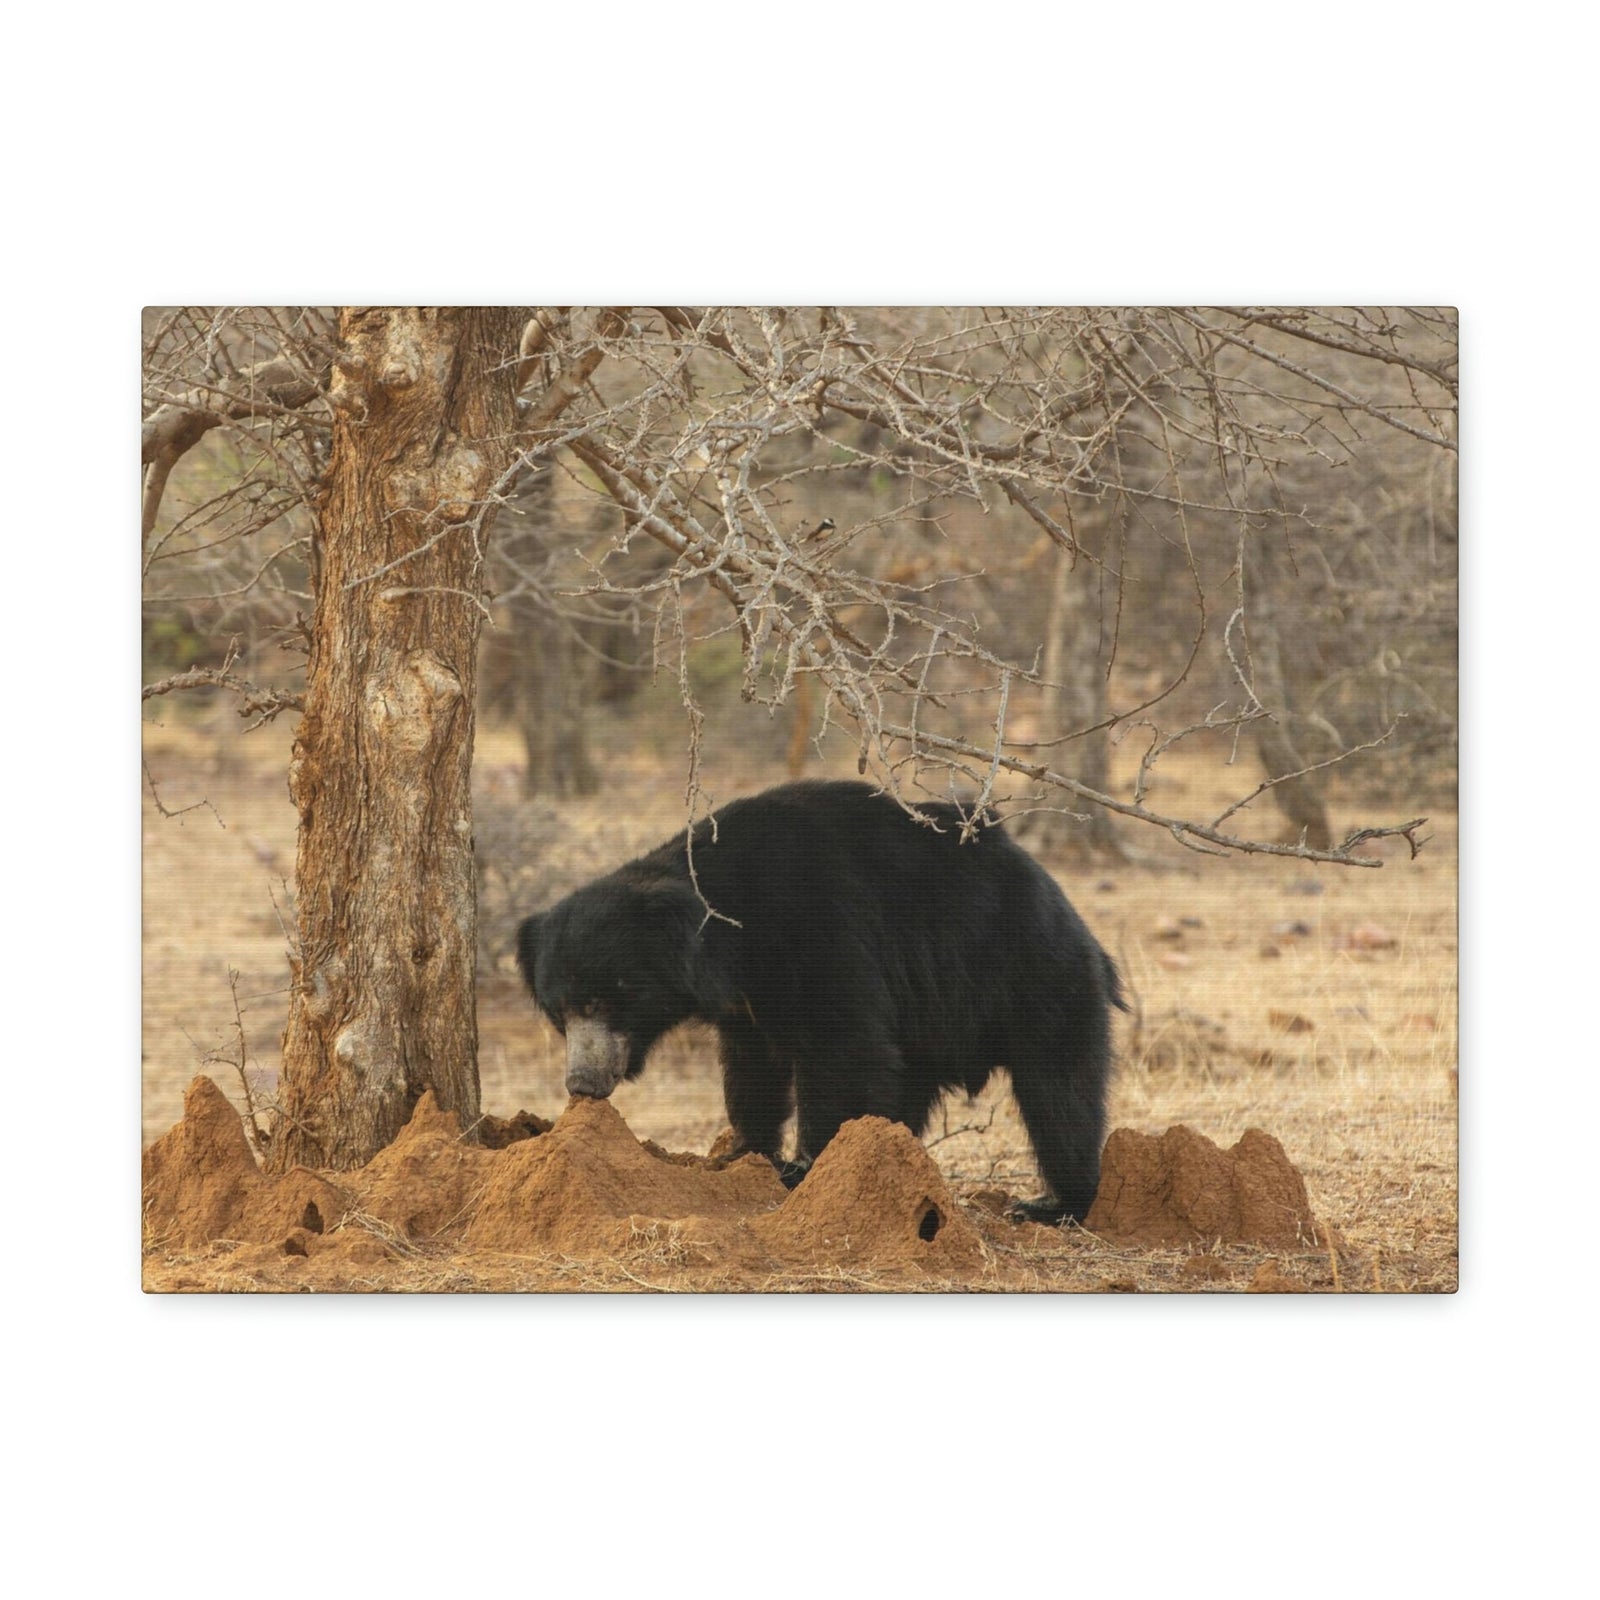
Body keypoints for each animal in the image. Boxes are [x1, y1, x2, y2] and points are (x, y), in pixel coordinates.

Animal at [515, 779, 1124, 1223]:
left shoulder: (818, 930)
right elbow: (752, 1068)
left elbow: (843, 1047)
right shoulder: (745, 1001)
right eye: (559, 1012)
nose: (582, 1083)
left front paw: (807, 1171)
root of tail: (1075, 920)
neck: (726, 935)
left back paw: (1052, 1204)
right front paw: (743, 1155)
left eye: (602, 1001)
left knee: (1059, 1092)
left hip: (1033, 981)